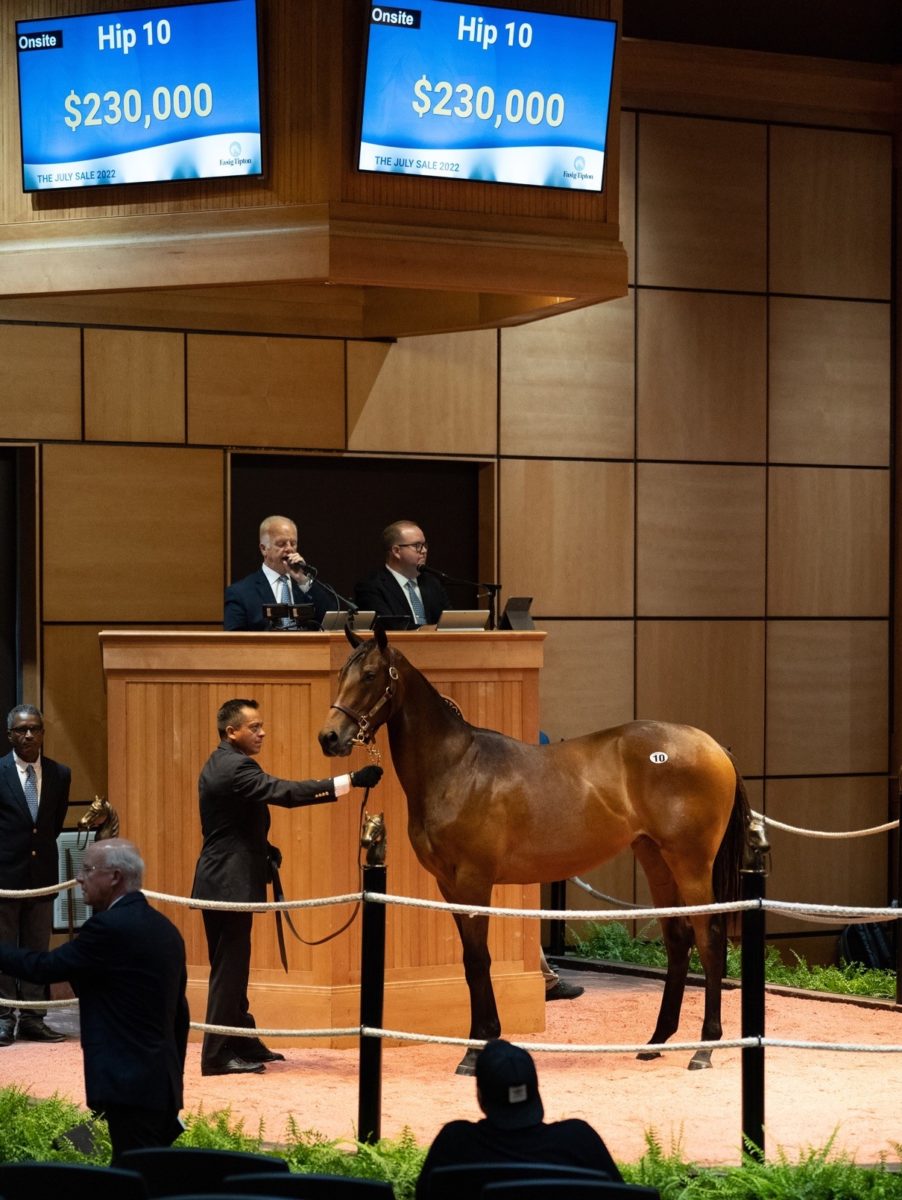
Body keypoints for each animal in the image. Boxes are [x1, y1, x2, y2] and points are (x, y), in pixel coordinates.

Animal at [321, 624, 748, 1075]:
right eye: (341, 674)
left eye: (369, 675)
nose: (329, 737)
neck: (455, 769)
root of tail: (714, 747)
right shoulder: (448, 887)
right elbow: (470, 961)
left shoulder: (474, 882)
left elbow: (478, 961)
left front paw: (475, 1050)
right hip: (656, 859)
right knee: (678, 939)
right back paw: (656, 1041)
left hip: (691, 863)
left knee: (709, 939)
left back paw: (705, 1048)